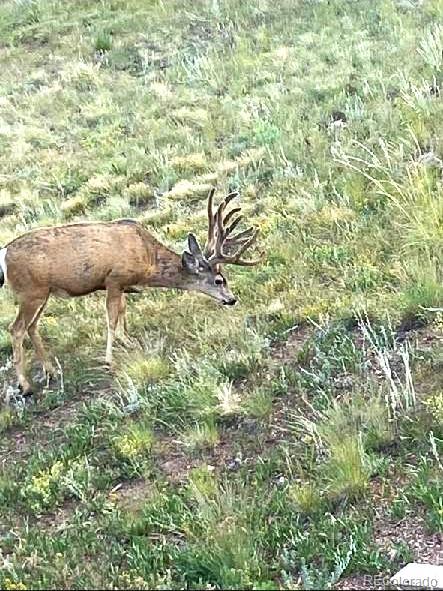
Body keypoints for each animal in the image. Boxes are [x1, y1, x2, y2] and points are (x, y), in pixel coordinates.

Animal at [0, 190, 260, 398]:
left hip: (42, 293)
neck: (148, 259)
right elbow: (111, 319)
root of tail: (4, 254)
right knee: (16, 329)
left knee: (32, 327)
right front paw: (109, 360)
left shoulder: (122, 284)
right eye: (219, 280)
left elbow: (123, 312)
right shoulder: (114, 278)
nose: (232, 299)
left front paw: (129, 341)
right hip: (31, 291)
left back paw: (51, 372)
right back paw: (26, 386)